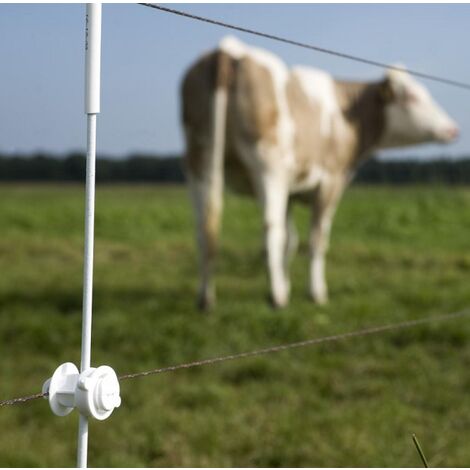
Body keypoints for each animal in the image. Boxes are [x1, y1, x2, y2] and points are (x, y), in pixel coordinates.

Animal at [181, 35, 458, 308]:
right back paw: (276, 297)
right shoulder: (331, 180)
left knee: (205, 228)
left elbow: (291, 240)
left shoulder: (291, 192)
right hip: (269, 167)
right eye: (412, 97)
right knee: (270, 230)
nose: (453, 129)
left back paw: (206, 298)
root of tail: (228, 49)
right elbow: (316, 239)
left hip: (199, 159)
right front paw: (315, 293)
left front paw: (288, 284)